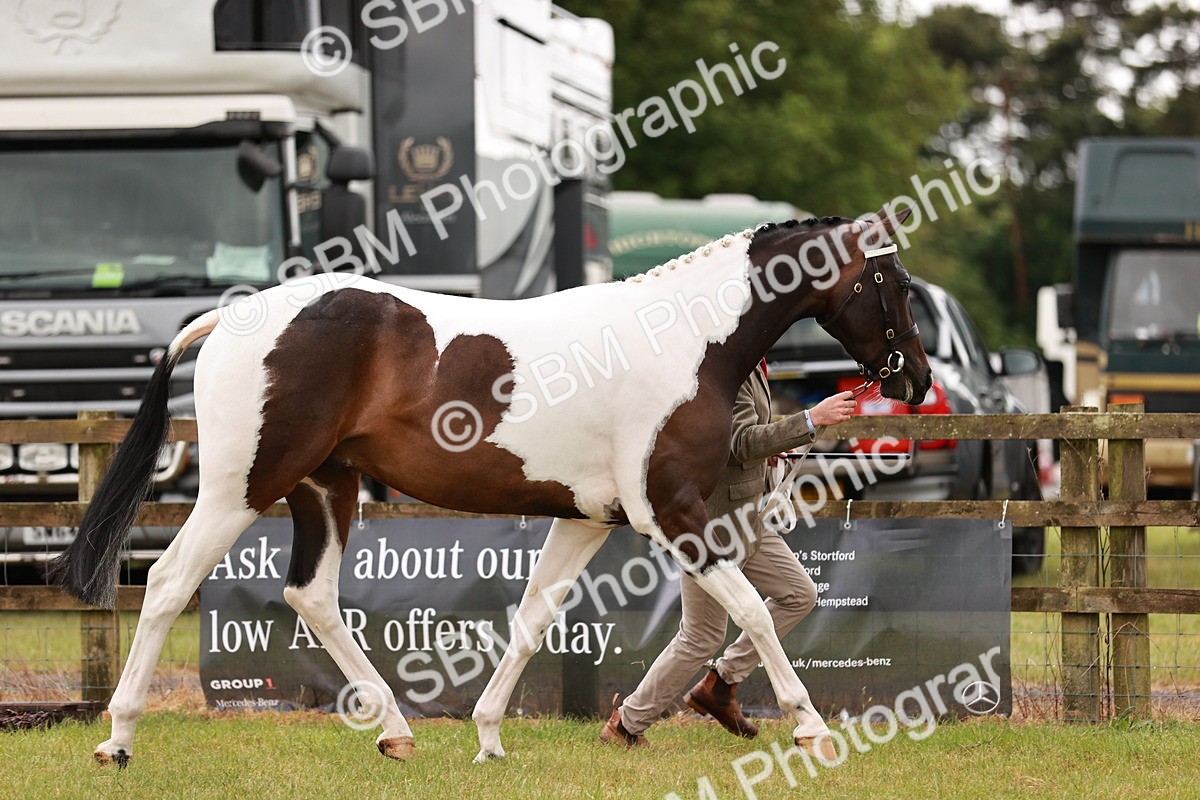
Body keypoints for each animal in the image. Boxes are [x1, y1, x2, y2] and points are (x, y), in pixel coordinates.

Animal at [48, 205, 931, 767]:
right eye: (895, 284)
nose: (916, 379)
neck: (683, 340)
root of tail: (229, 319)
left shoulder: (587, 519)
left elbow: (533, 619)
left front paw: (488, 737)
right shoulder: (673, 514)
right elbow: (752, 611)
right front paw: (812, 730)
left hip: (324, 489)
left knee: (311, 597)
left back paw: (396, 732)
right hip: (240, 488)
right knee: (168, 583)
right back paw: (117, 739)